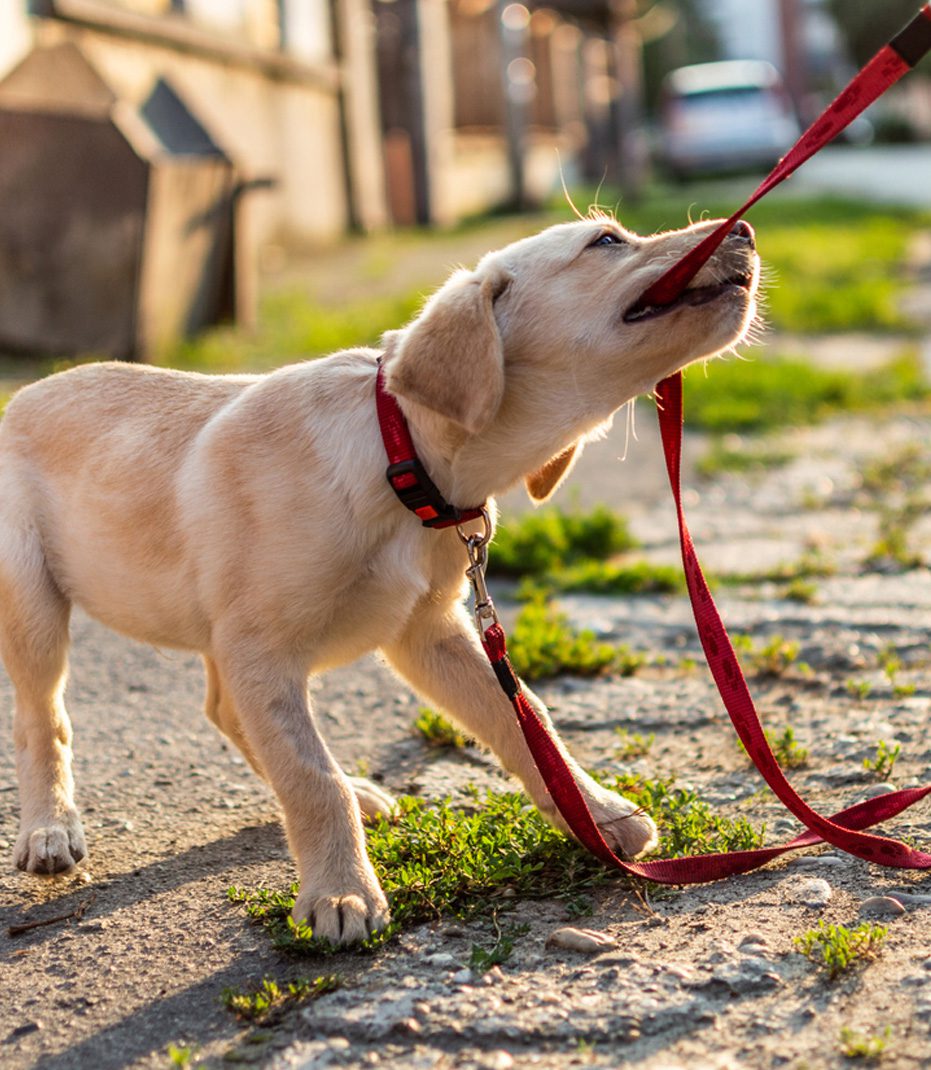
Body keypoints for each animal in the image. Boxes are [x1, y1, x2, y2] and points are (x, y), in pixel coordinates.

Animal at [0, 217, 757, 945]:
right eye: (605, 241)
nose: (745, 231)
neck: (401, 458)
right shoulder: (262, 648)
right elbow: (311, 776)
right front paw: (340, 894)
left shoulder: (428, 633)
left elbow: (524, 720)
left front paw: (594, 813)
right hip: (35, 605)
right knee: (43, 719)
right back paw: (49, 828)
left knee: (224, 711)